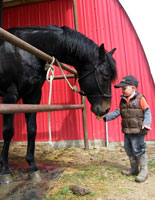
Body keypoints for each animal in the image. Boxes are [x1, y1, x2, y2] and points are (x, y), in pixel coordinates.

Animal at [0, 24, 116, 182]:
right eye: (105, 76)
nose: (106, 109)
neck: (23, 50)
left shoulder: (33, 96)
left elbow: (32, 130)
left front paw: (33, 167)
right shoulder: (9, 96)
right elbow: (8, 132)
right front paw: (5, 170)